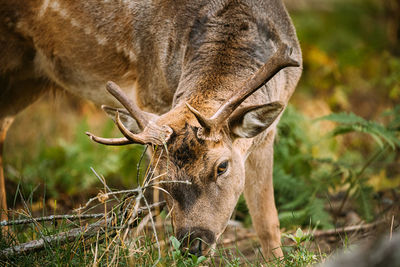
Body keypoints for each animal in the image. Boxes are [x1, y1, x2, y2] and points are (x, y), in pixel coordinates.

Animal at [0, 0, 300, 260]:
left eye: (222, 166)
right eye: (159, 174)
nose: (193, 245)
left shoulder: (266, 134)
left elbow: (267, 222)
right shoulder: (151, 96)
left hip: (29, 77)